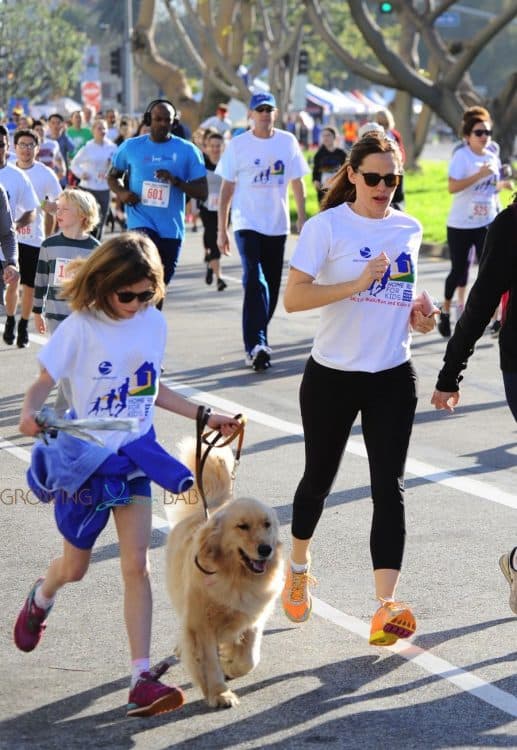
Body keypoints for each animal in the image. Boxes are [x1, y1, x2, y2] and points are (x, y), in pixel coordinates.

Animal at [164, 438, 282, 708]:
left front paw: (231, 666)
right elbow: (208, 662)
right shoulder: (201, 625)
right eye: (242, 526)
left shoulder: (252, 616)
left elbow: (249, 658)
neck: (235, 578)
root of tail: (214, 504)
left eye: (267, 524)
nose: (266, 549)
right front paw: (219, 693)